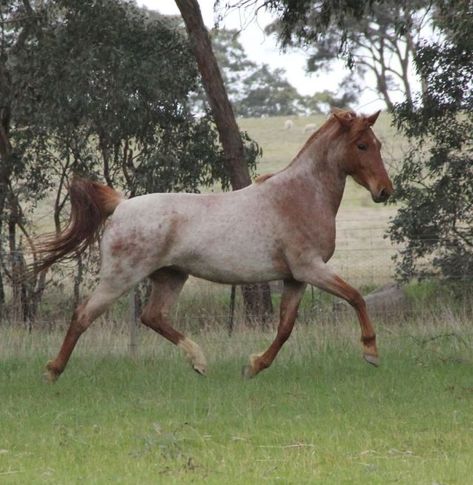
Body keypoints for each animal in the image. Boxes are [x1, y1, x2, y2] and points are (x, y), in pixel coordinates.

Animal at [36, 108, 390, 382]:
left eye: (377, 144)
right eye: (361, 145)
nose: (385, 191)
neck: (300, 195)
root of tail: (121, 205)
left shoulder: (296, 278)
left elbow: (285, 327)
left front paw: (253, 366)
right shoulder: (312, 268)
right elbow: (356, 297)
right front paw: (371, 352)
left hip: (171, 276)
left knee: (152, 317)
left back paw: (199, 362)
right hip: (120, 278)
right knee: (83, 315)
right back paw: (53, 371)